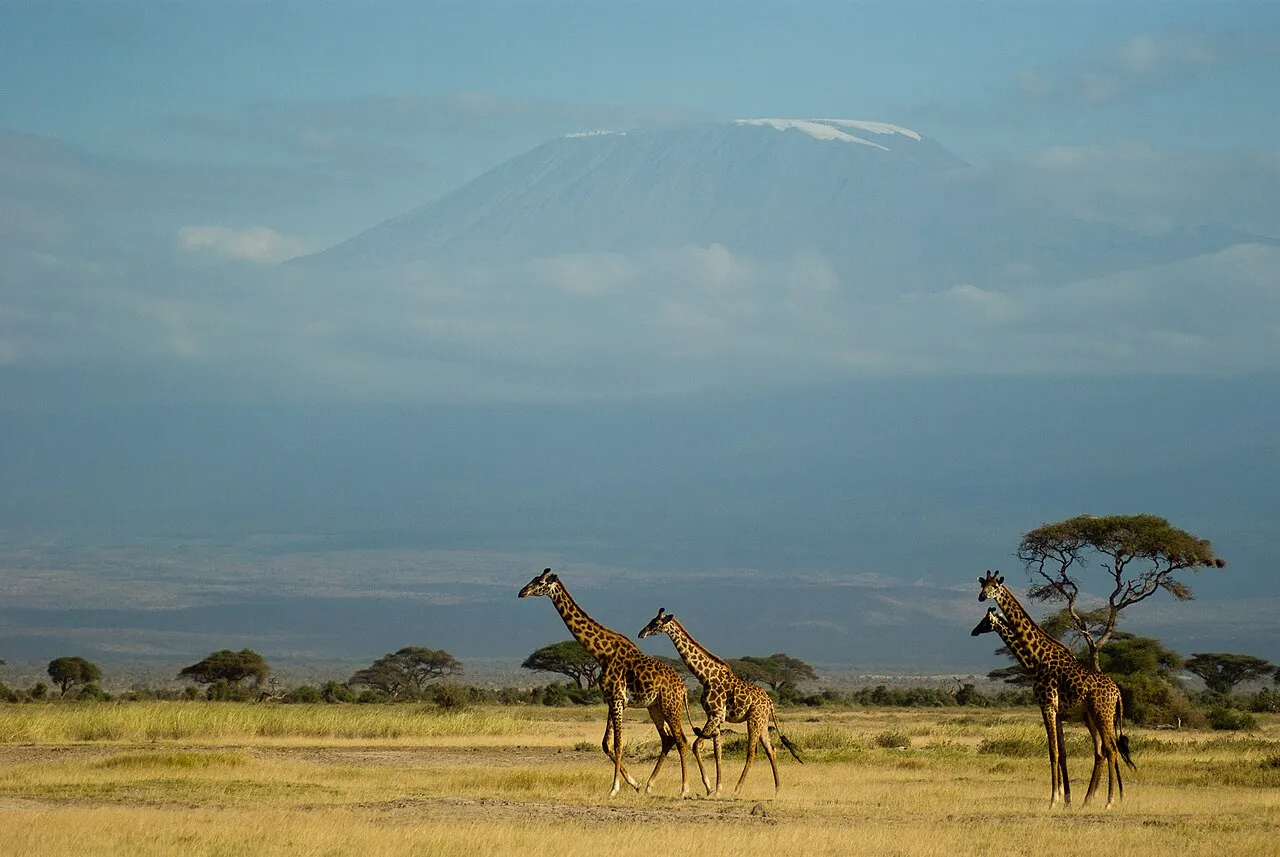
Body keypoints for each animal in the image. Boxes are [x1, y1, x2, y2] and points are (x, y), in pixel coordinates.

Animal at [518, 568, 692, 797]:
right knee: (668, 739)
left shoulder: (617, 698)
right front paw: (634, 783)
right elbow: (606, 744)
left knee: (681, 739)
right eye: (533, 578)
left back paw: (684, 789)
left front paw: (614, 788)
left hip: (671, 706)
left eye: (540, 582)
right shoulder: (612, 699)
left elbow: (618, 744)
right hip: (655, 707)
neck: (602, 653)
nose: (522, 592)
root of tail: (683, 688)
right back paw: (649, 785)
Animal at [638, 607, 803, 797]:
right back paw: (777, 790)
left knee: (752, 752)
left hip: (754, 720)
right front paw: (717, 789)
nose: (641, 633)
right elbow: (718, 752)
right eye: (651, 620)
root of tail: (769, 701)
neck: (705, 677)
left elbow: (697, 745)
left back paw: (738, 789)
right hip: (762, 721)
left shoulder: (716, 715)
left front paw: (709, 787)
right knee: (771, 749)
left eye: (656, 623)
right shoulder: (715, 717)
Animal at [975, 570, 1136, 808]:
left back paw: (1110, 801)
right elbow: (1063, 753)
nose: (981, 597)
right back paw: (1088, 800)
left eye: (994, 587)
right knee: (1101, 751)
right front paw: (1066, 799)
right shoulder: (1058, 712)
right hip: (1093, 717)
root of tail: (1117, 693)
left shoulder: (1047, 706)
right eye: (982, 586)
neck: (1036, 659)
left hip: (1102, 714)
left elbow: (1053, 752)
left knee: (1111, 749)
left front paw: (1053, 800)